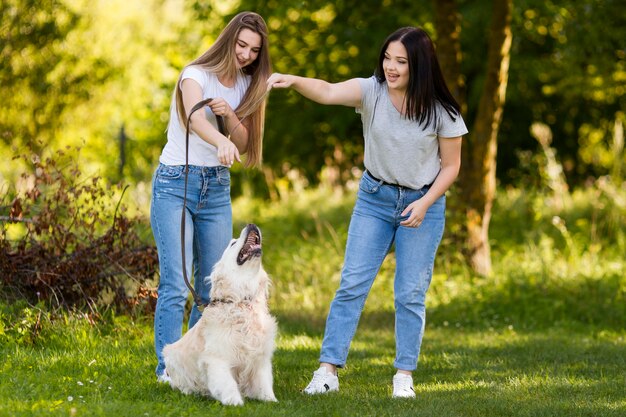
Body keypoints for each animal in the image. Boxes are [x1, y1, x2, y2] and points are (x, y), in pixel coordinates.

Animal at [162, 223, 276, 404]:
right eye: (233, 243)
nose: (251, 224)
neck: (241, 301)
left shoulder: (260, 357)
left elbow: (263, 383)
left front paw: (271, 400)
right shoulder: (217, 358)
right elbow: (227, 384)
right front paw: (235, 402)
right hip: (171, 358)